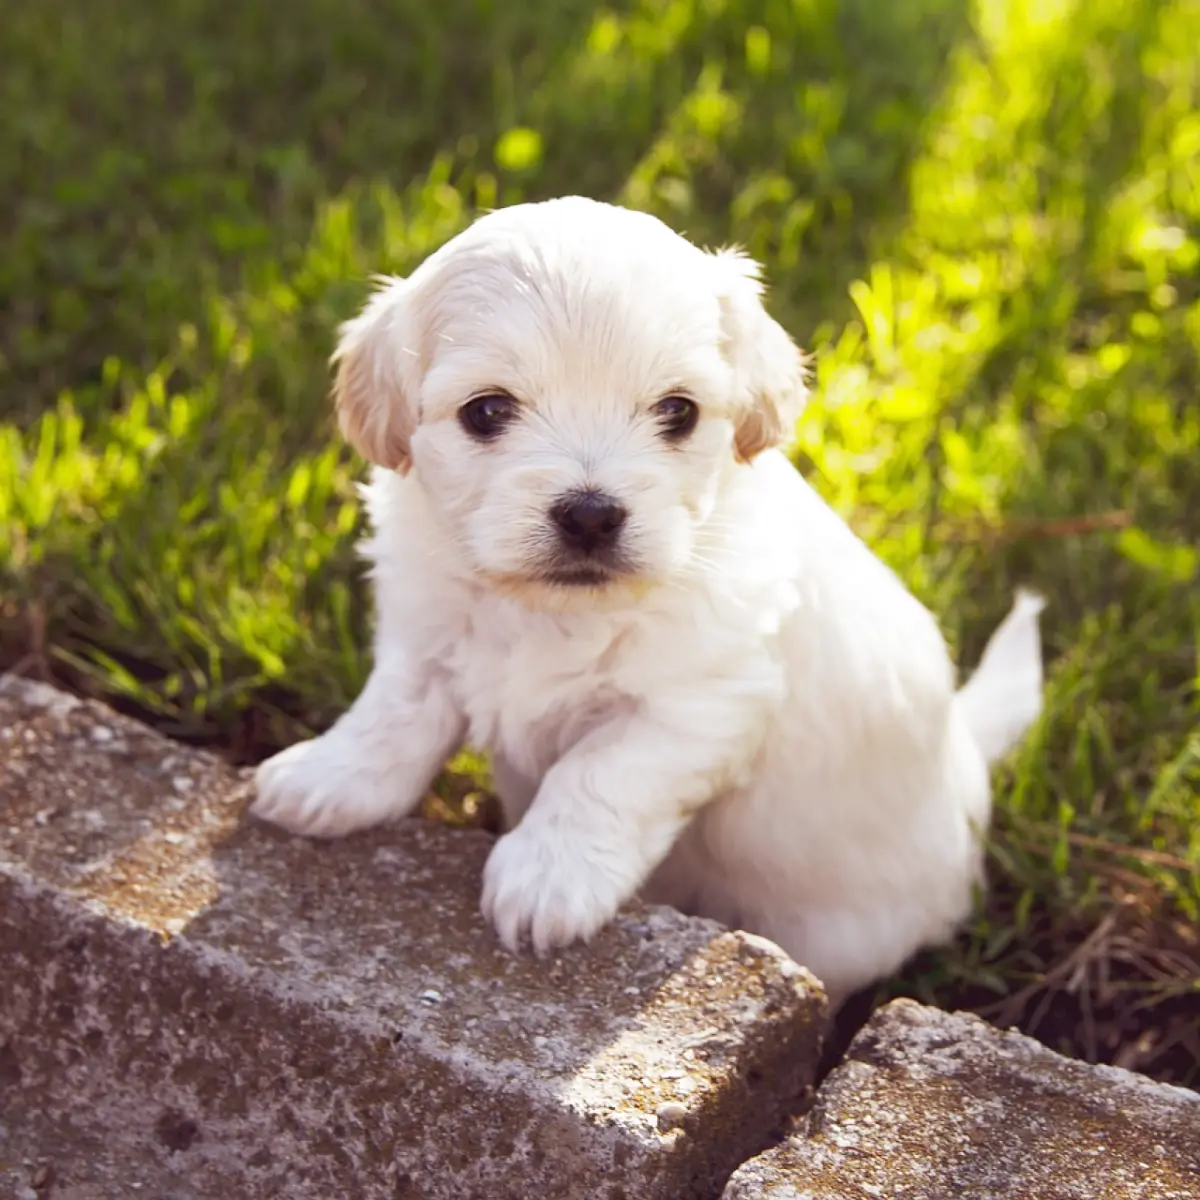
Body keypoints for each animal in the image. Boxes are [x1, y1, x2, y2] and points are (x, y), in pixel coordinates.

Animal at [250, 196, 1041, 998]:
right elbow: (394, 714)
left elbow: (599, 773)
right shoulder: (426, 632)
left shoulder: (699, 705)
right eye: (486, 411)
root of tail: (966, 761)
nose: (590, 514)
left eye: (678, 411)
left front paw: (546, 878)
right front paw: (328, 777)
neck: (552, 613)